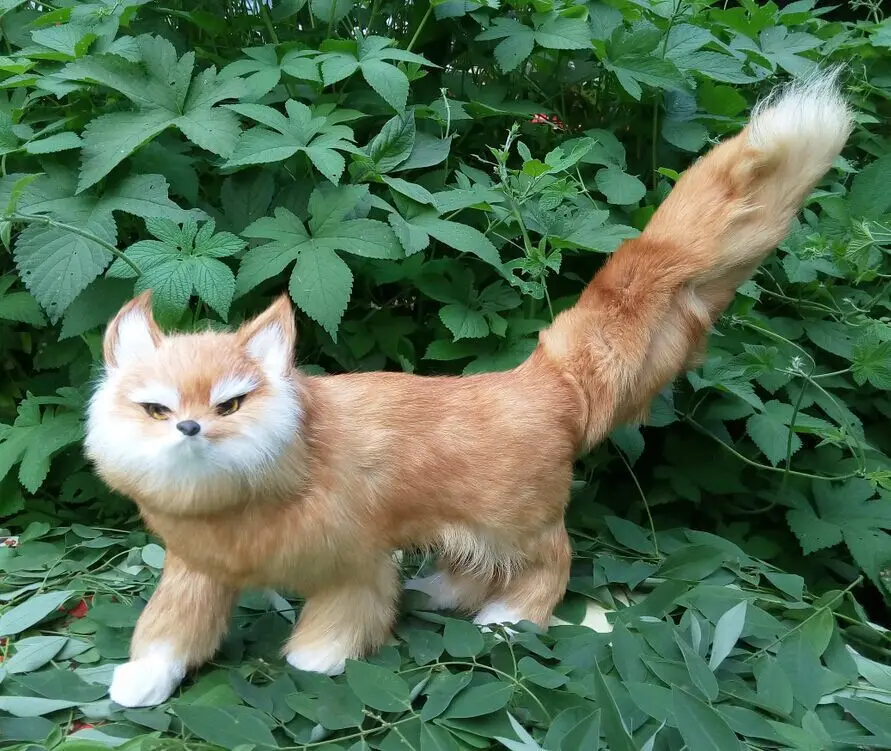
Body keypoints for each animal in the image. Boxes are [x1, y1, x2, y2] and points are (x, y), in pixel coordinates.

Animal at [84, 70, 852, 708]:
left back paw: (507, 620)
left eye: (231, 403)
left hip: (515, 522)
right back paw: (441, 594)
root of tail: (545, 379)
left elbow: (340, 623)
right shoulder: (195, 574)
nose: (191, 429)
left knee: (550, 568)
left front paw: (316, 662)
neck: (247, 500)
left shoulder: (357, 565)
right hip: (463, 527)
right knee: (474, 570)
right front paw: (141, 681)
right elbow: (165, 630)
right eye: (156, 408)